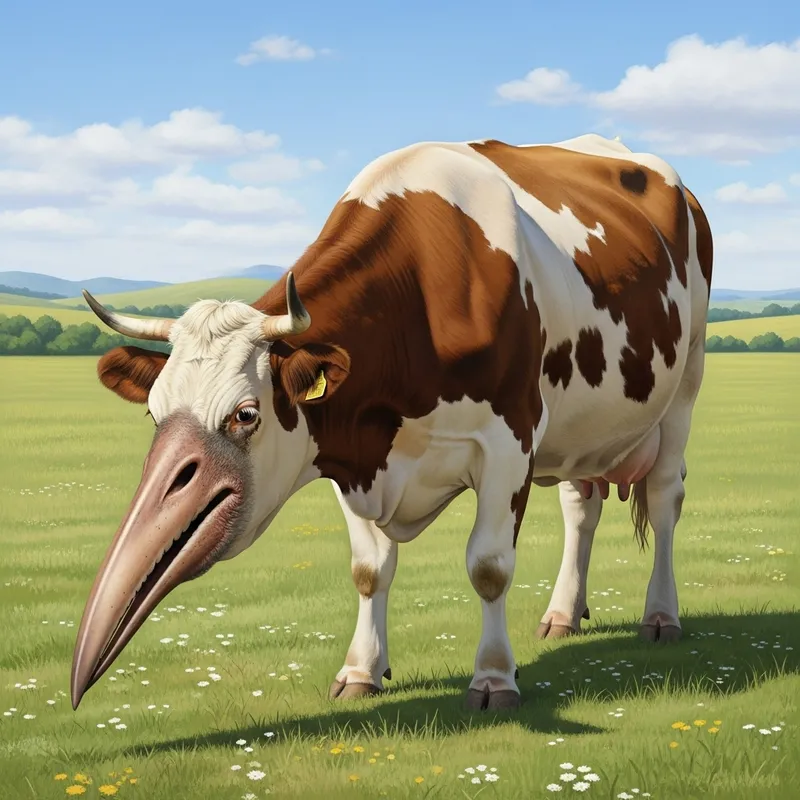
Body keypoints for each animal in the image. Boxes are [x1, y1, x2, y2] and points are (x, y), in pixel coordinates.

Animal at [70, 133, 713, 713]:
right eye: (154, 411)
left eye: (245, 414)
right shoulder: (353, 454)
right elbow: (368, 570)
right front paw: (361, 671)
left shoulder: (510, 441)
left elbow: (489, 567)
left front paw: (494, 679)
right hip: (587, 424)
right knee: (581, 504)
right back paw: (562, 614)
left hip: (685, 382)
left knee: (664, 497)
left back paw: (660, 616)